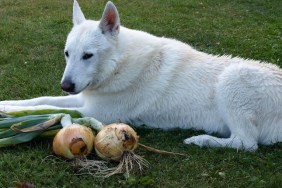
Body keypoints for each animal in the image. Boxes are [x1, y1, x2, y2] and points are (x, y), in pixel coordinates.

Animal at [0, 0, 282, 151]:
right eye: (67, 54)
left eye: (88, 56)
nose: (66, 85)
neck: (118, 65)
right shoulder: (84, 99)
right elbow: (39, 101)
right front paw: (7, 105)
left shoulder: (97, 111)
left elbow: (47, 109)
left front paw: (10, 115)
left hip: (232, 80)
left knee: (247, 144)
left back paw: (201, 140)